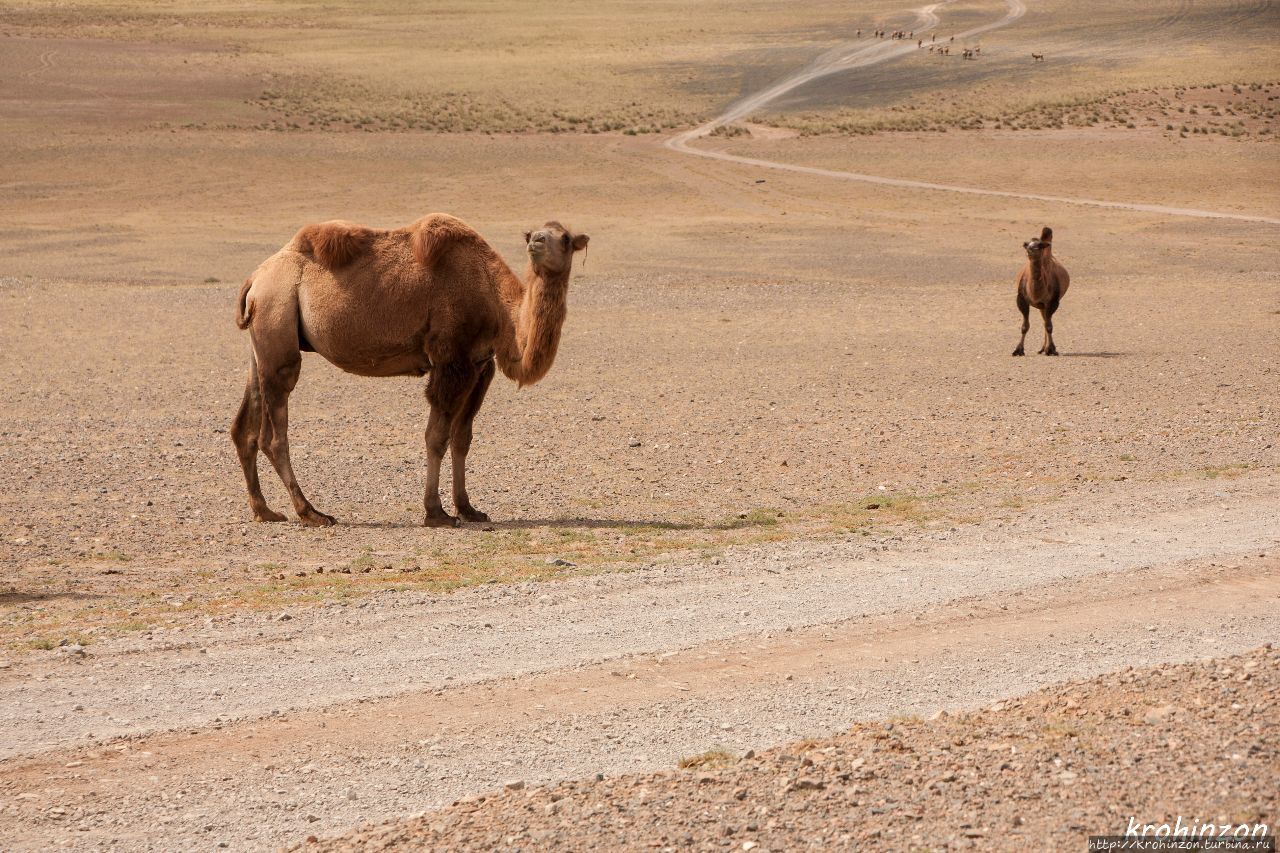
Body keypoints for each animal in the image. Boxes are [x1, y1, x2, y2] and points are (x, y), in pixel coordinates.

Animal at [231, 212, 588, 525]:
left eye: (565, 238)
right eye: (534, 235)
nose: (537, 241)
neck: (497, 302)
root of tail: (256, 278)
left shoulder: (480, 365)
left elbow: (462, 437)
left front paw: (468, 509)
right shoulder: (451, 360)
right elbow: (436, 437)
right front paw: (436, 513)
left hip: (263, 340)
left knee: (244, 429)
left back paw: (265, 511)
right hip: (279, 323)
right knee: (273, 436)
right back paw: (312, 513)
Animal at [1008, 225, 1070, 356]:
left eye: (1040, 245)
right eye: (1026, 244)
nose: (1031, 248)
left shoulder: (1052, 302)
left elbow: (1049, 326)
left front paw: (1051, 349)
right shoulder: (1021, 299)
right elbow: (1025, 326)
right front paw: (1018, 350)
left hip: (1045, 306)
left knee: (1046, 321)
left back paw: (1045, 348)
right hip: (1041, 306)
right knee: (1044, 320)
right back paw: (1042, 348)